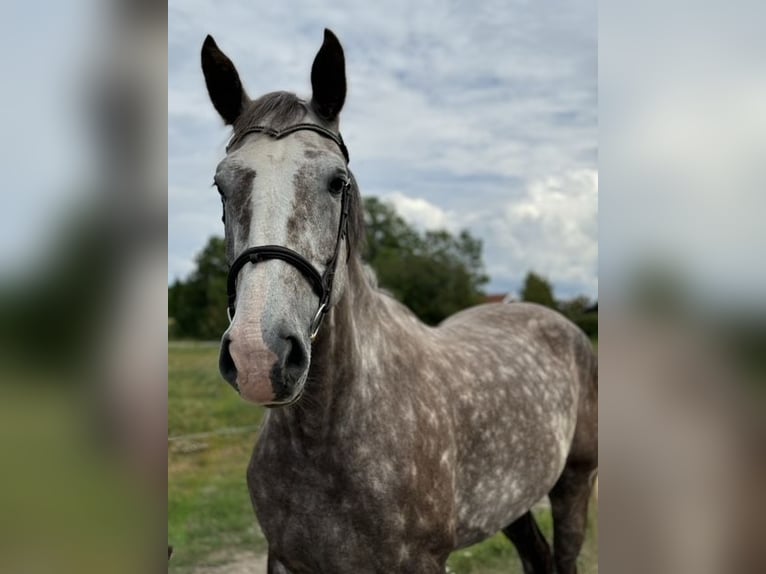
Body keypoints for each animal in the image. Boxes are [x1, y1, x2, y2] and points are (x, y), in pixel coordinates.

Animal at [202, 29, 600, 574]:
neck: (328, 434)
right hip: (513, 503)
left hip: (574, 485)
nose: (258, 356)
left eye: (337, 182)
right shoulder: (284, 559)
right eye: (222, 185)